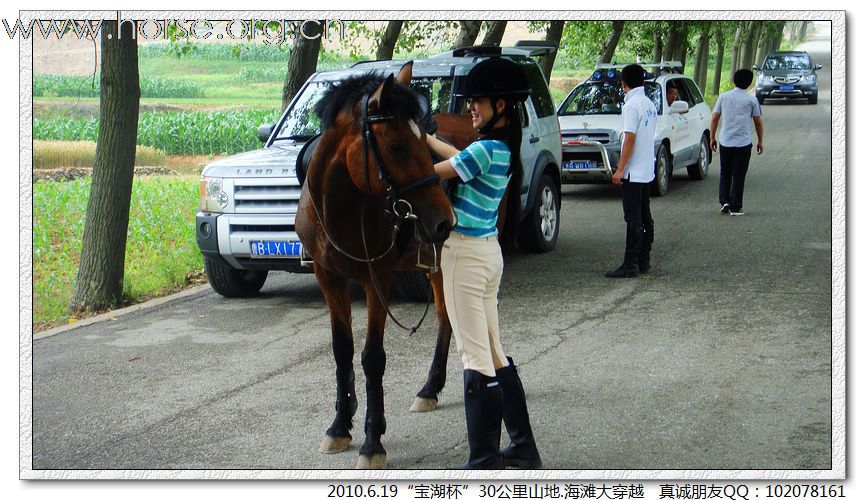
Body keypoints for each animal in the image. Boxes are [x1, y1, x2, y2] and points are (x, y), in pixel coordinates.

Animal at [296, 62, 456, 468]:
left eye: (424, 138)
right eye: (397, 146)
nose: (443, 221)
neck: (339, 210)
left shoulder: (377, 279)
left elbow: (372, 357)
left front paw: (372, 439)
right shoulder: (328, 278)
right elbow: (342, 351)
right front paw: (340, 425)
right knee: (445, 316)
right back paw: (430, 387)